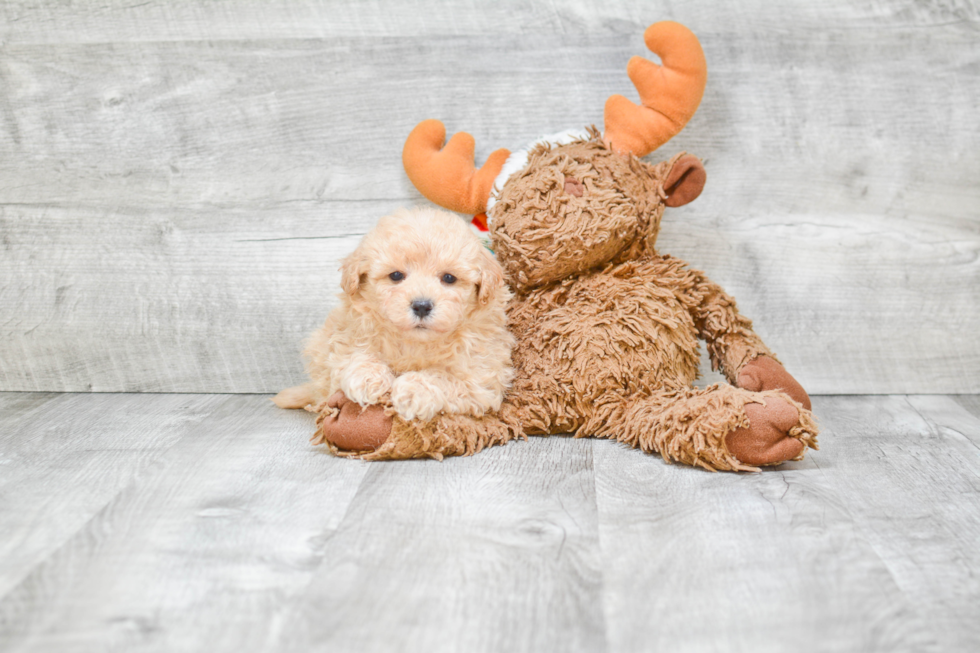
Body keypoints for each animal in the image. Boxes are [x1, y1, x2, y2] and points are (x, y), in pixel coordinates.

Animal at [268, 204, 512, 420]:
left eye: (449, 278)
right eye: (396, 276)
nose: (421, 305)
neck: (415, 342)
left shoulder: (481, 379)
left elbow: (443, 377)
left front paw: (412, 390)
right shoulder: (343, 336)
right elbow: (352, 353)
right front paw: (367, 378)